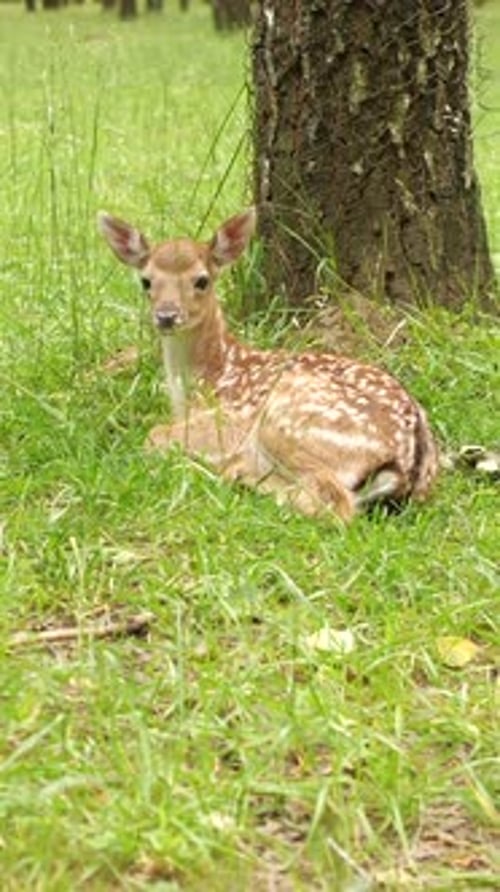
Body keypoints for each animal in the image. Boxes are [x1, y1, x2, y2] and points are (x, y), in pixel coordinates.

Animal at [97, 207, 439, 521]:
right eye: (146, 281)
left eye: (202, 280)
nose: (166, 316)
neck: (208, 376)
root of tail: (409, 463)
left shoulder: (229, 419)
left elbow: (154, 435)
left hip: (287, 420)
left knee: (333, 503)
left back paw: (241, 474)